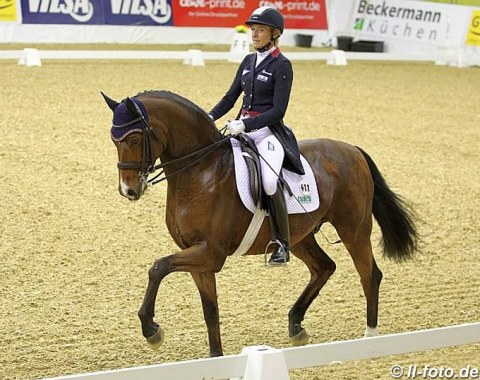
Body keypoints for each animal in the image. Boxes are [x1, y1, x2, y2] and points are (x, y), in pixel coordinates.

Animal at [102, 89, 420, 356]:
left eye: (134, 139)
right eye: (114, 141)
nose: (128, 190)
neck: (201, 171)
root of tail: (352, 150)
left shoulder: (211, 253)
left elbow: (158, 267)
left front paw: (151, 330)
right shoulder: (198, 256)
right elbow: (210, 311)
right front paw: (215, 359)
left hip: (354, 230)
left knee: (369, 275)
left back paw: (370, 338)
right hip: (301, 236)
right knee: (324, 267)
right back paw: (296, 325)